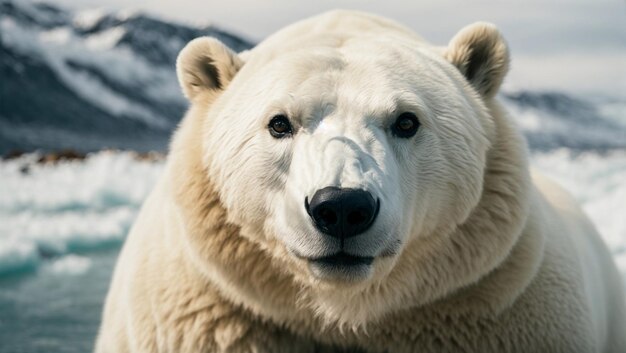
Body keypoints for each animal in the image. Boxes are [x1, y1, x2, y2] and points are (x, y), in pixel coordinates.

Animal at [95, 9, 620, 350]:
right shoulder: (214, 316)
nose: (342, 207)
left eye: (406, 121)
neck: (342, 313)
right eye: (279, 122)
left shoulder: (498, 309)